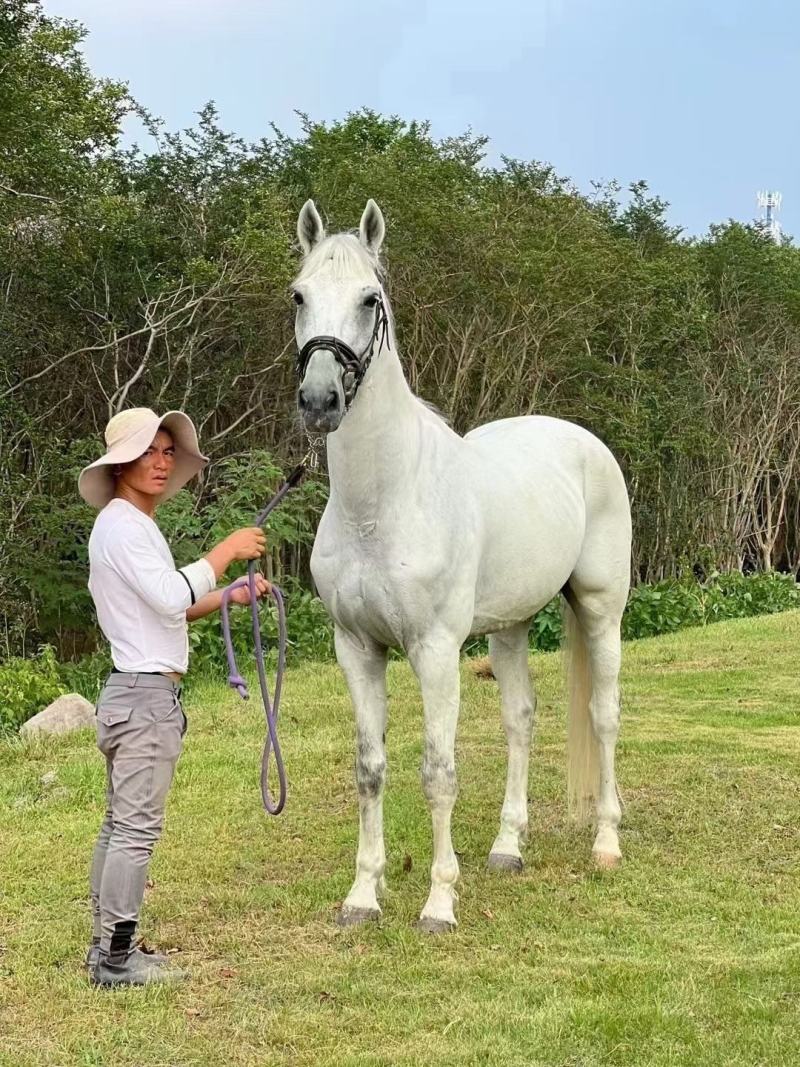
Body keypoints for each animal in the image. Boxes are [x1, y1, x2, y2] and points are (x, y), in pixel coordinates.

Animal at [292, 199, 632, 932]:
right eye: (299, 295)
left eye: (370, 299)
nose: (320, 401)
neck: (384, 501)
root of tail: (582, 441)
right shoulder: (356, 648)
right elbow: (370, 767)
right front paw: (363, 895)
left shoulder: (435, 650)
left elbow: (438, 771)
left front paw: (440, 902)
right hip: (509, 627)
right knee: (520, 718)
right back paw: (508, 847)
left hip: (601, 610)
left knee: (604, 716)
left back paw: (606, 843)